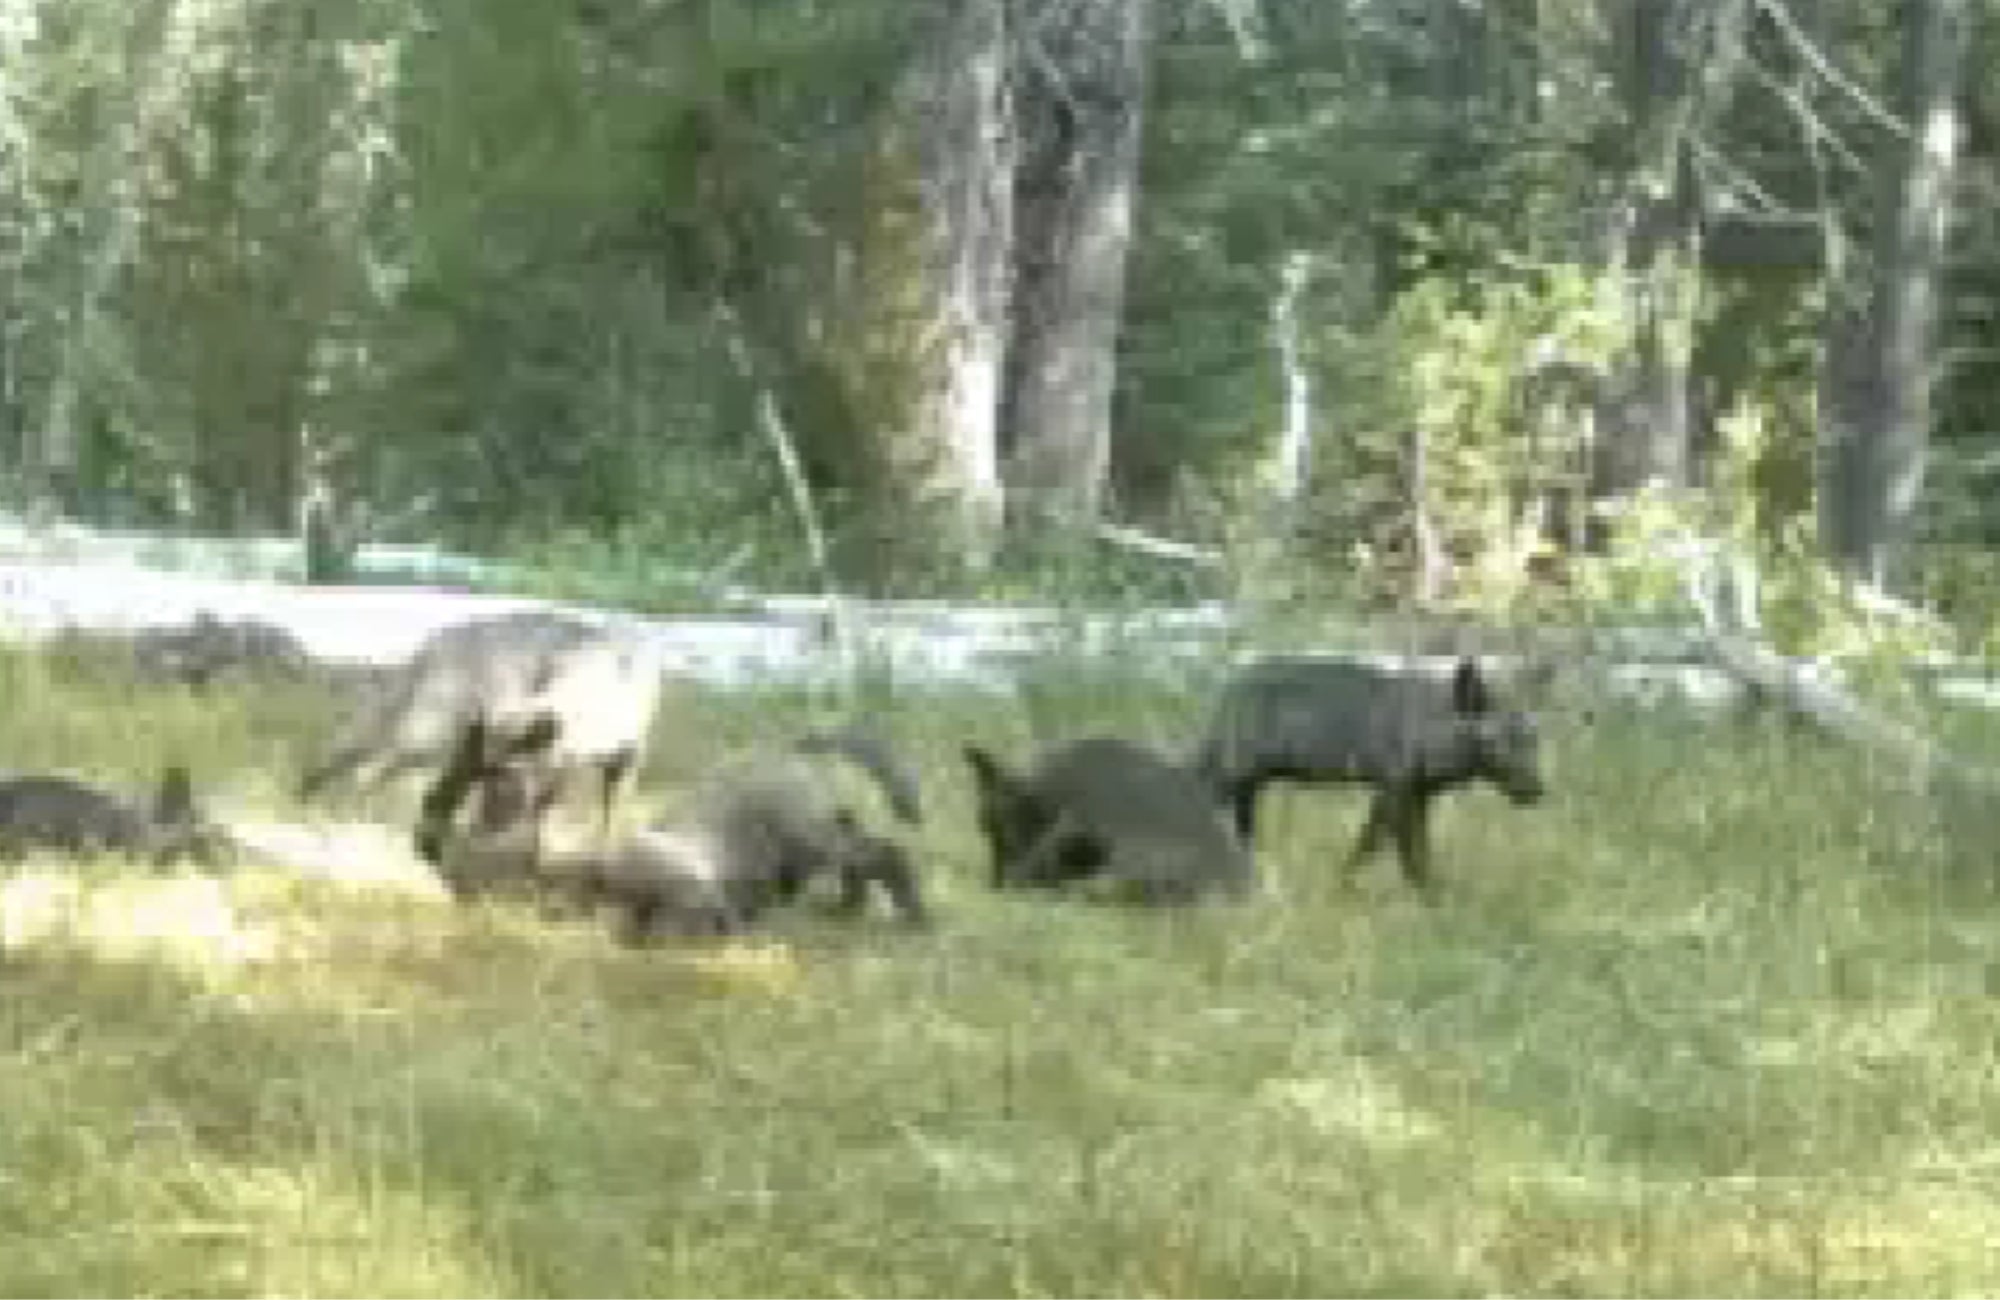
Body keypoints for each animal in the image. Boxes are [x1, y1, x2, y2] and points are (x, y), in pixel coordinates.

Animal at [1191, 655, 1545, 893]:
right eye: (1492, 742)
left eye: (1533, 739)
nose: (1535, 791)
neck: (1432, 733)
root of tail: (1227, 692)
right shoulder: (1395, 788)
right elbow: (1388, 851)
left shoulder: (1417, 795)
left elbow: (1410, 852)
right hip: (1231, 775)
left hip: (1249, 786)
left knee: (1242, 833)